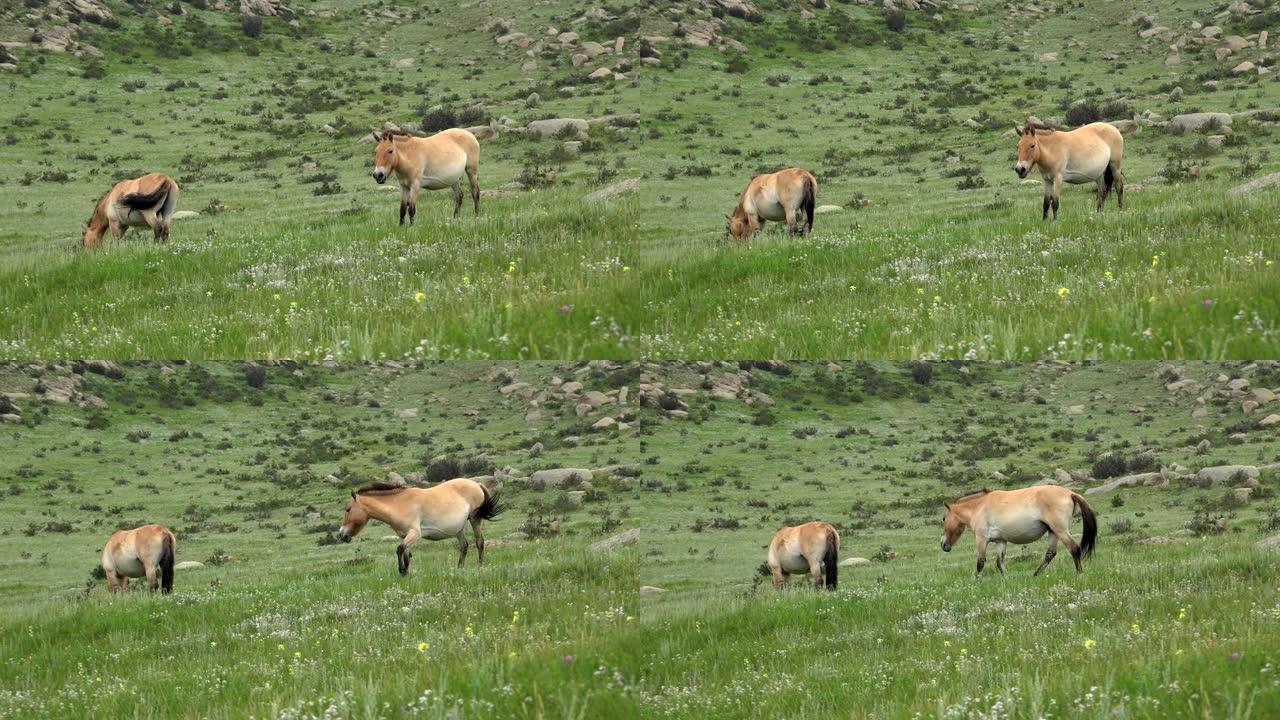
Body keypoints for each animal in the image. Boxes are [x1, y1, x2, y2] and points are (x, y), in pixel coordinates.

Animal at [335, 476, 499, 571]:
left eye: (348, 509)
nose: (342, 534)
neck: (399, 504)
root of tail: (477, 484)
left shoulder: (414, 533)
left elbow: (400, 549)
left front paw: (402, 571)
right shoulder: (404, 535)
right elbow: (406, 553)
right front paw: (406, 572)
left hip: (475, 519)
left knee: (479, 542)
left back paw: (479, 566)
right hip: (458, 528)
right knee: (464, 546)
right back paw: (459, 569)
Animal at [936, 481, 1095, 576]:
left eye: (944, 518)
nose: (943, 544)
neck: (979, 507)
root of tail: (1070, 493)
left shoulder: (981, 539)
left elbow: (980, 562)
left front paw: (977, 580)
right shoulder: (1000, 541)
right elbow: (1000, 563)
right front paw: (1006, 579)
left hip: (1060, 530)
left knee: (1074, 548)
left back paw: (1079, 573)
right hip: (1053, 532)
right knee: (1050, 554)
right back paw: (1036, 574)